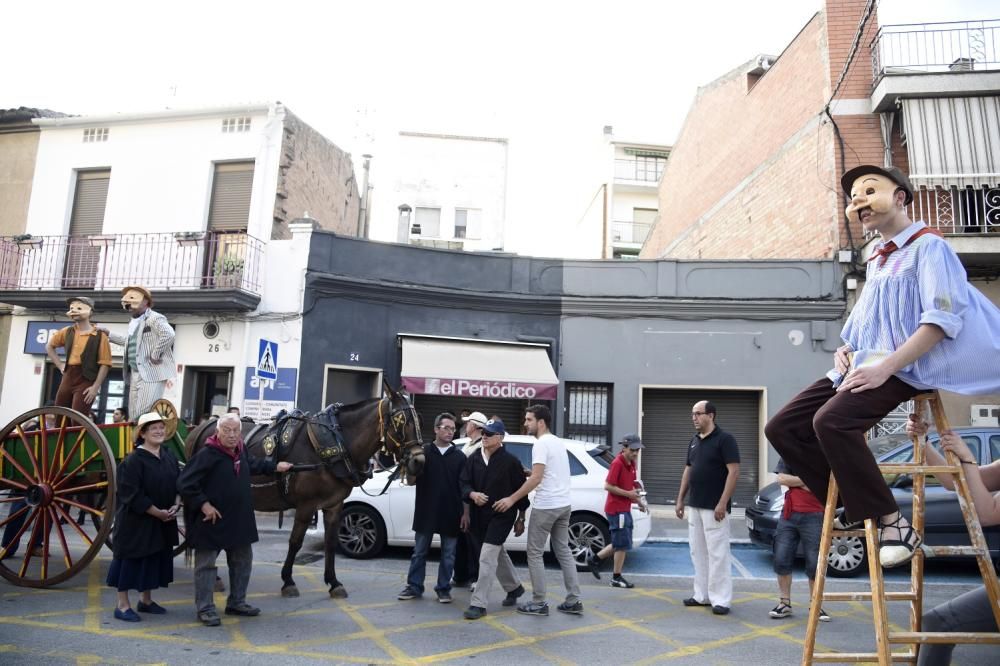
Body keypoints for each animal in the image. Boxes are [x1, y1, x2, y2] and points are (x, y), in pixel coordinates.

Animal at [186, 384, 424, 596]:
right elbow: (295, 542)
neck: (336, 444)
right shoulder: (306, 506)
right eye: (401, 421)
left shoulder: (334, 505)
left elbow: (330, 542)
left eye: (418, 420)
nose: (418, 462)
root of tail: (202, 428)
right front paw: (288, 580)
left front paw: (333, 582)